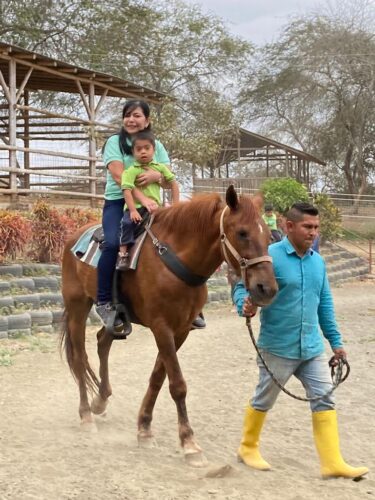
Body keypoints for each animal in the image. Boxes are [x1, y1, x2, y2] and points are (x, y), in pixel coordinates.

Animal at [61, 186, 280, 466]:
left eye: (267, 233)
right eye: (242, 233)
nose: (267, 288)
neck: (175, 259)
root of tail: (73, 238)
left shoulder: (181, 330)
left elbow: (157, 378)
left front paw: (144, 428)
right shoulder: (161, 327)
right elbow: (177, 384)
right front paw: (189, 443)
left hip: (117, 319)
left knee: (102, 341)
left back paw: (100, 399)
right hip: (77, 305)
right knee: (79, 357)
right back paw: (86, 414)